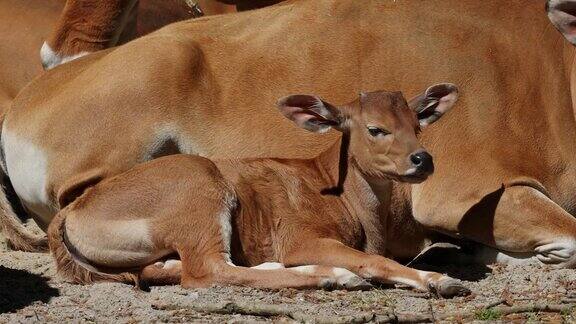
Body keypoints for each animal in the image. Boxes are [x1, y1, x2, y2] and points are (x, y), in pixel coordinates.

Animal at [46, 85, 468, 296]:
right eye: (375, 128)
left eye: (418, 122)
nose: (422, 159)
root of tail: (71, 210)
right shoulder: (299, 238)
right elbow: (375, 261)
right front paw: (440, 280)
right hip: (199, 190)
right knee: (208, 272)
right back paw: (333, 276)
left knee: (164, 269)